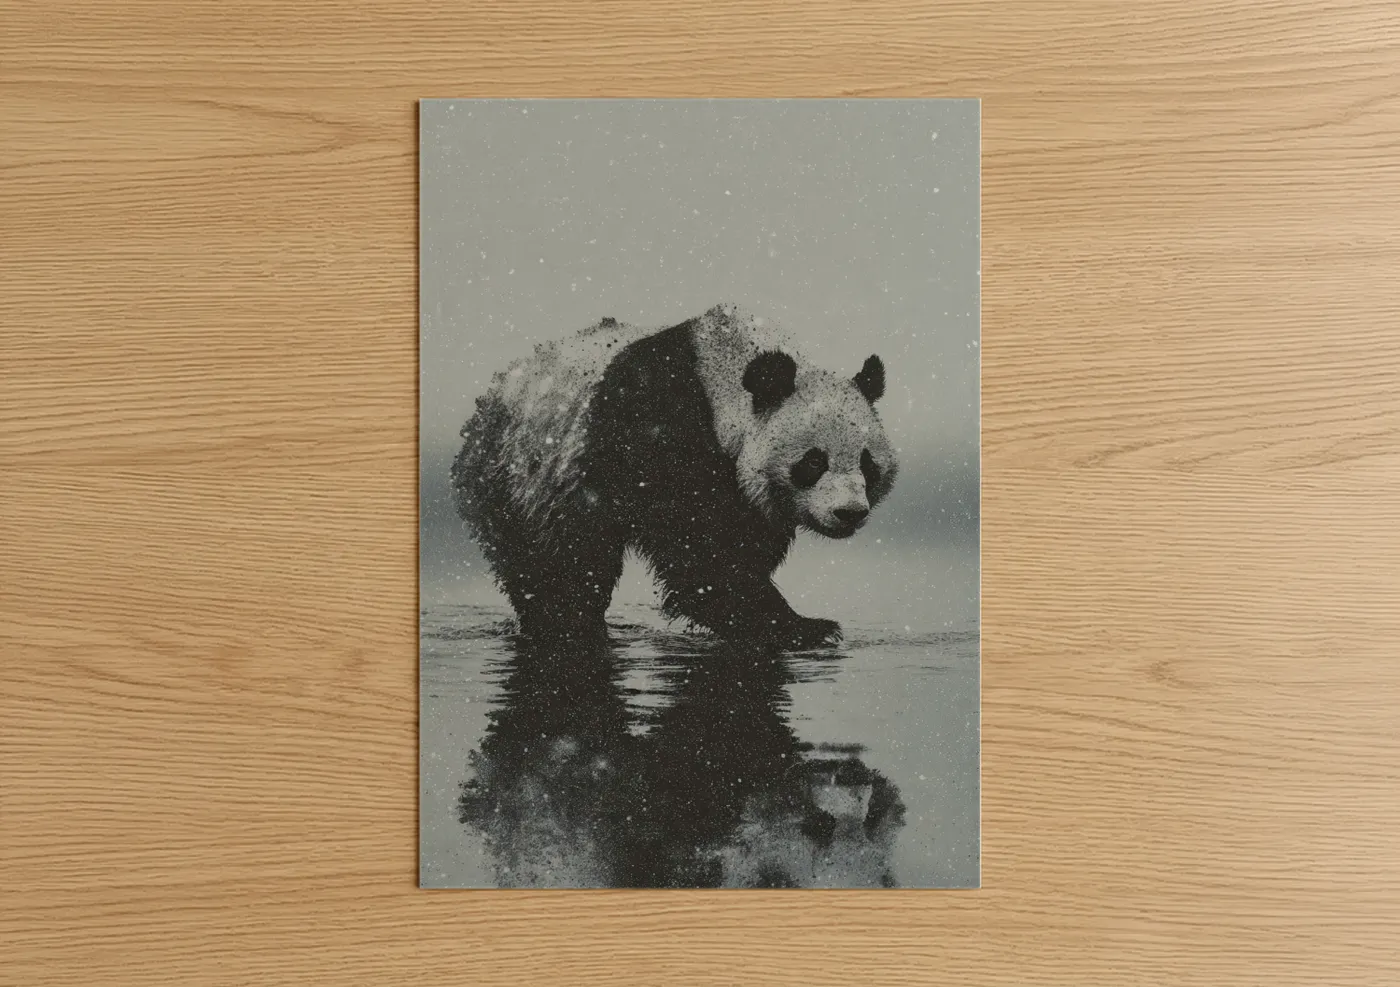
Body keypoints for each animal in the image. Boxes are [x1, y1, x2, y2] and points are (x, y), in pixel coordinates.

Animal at [452, 303, 897, 649]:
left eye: (867, 464)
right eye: (814, 462)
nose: (849, 513)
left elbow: (743, 539)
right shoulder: (663, 430)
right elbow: (701, 558)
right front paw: (805, 628)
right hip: (526, 476)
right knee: (558, 559)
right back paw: (569, 627)